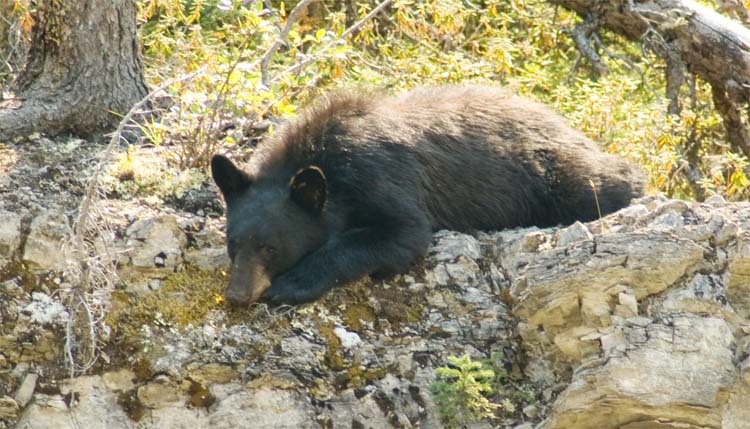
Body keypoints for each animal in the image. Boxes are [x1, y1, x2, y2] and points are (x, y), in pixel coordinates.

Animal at [212, 84, 648, 304]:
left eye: (271, 247)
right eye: (233, 243)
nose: (236, 296)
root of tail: (561, 121)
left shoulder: (383, 175)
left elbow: (401, 233)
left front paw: (292, 285)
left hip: (552, 172)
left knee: (600, 182)